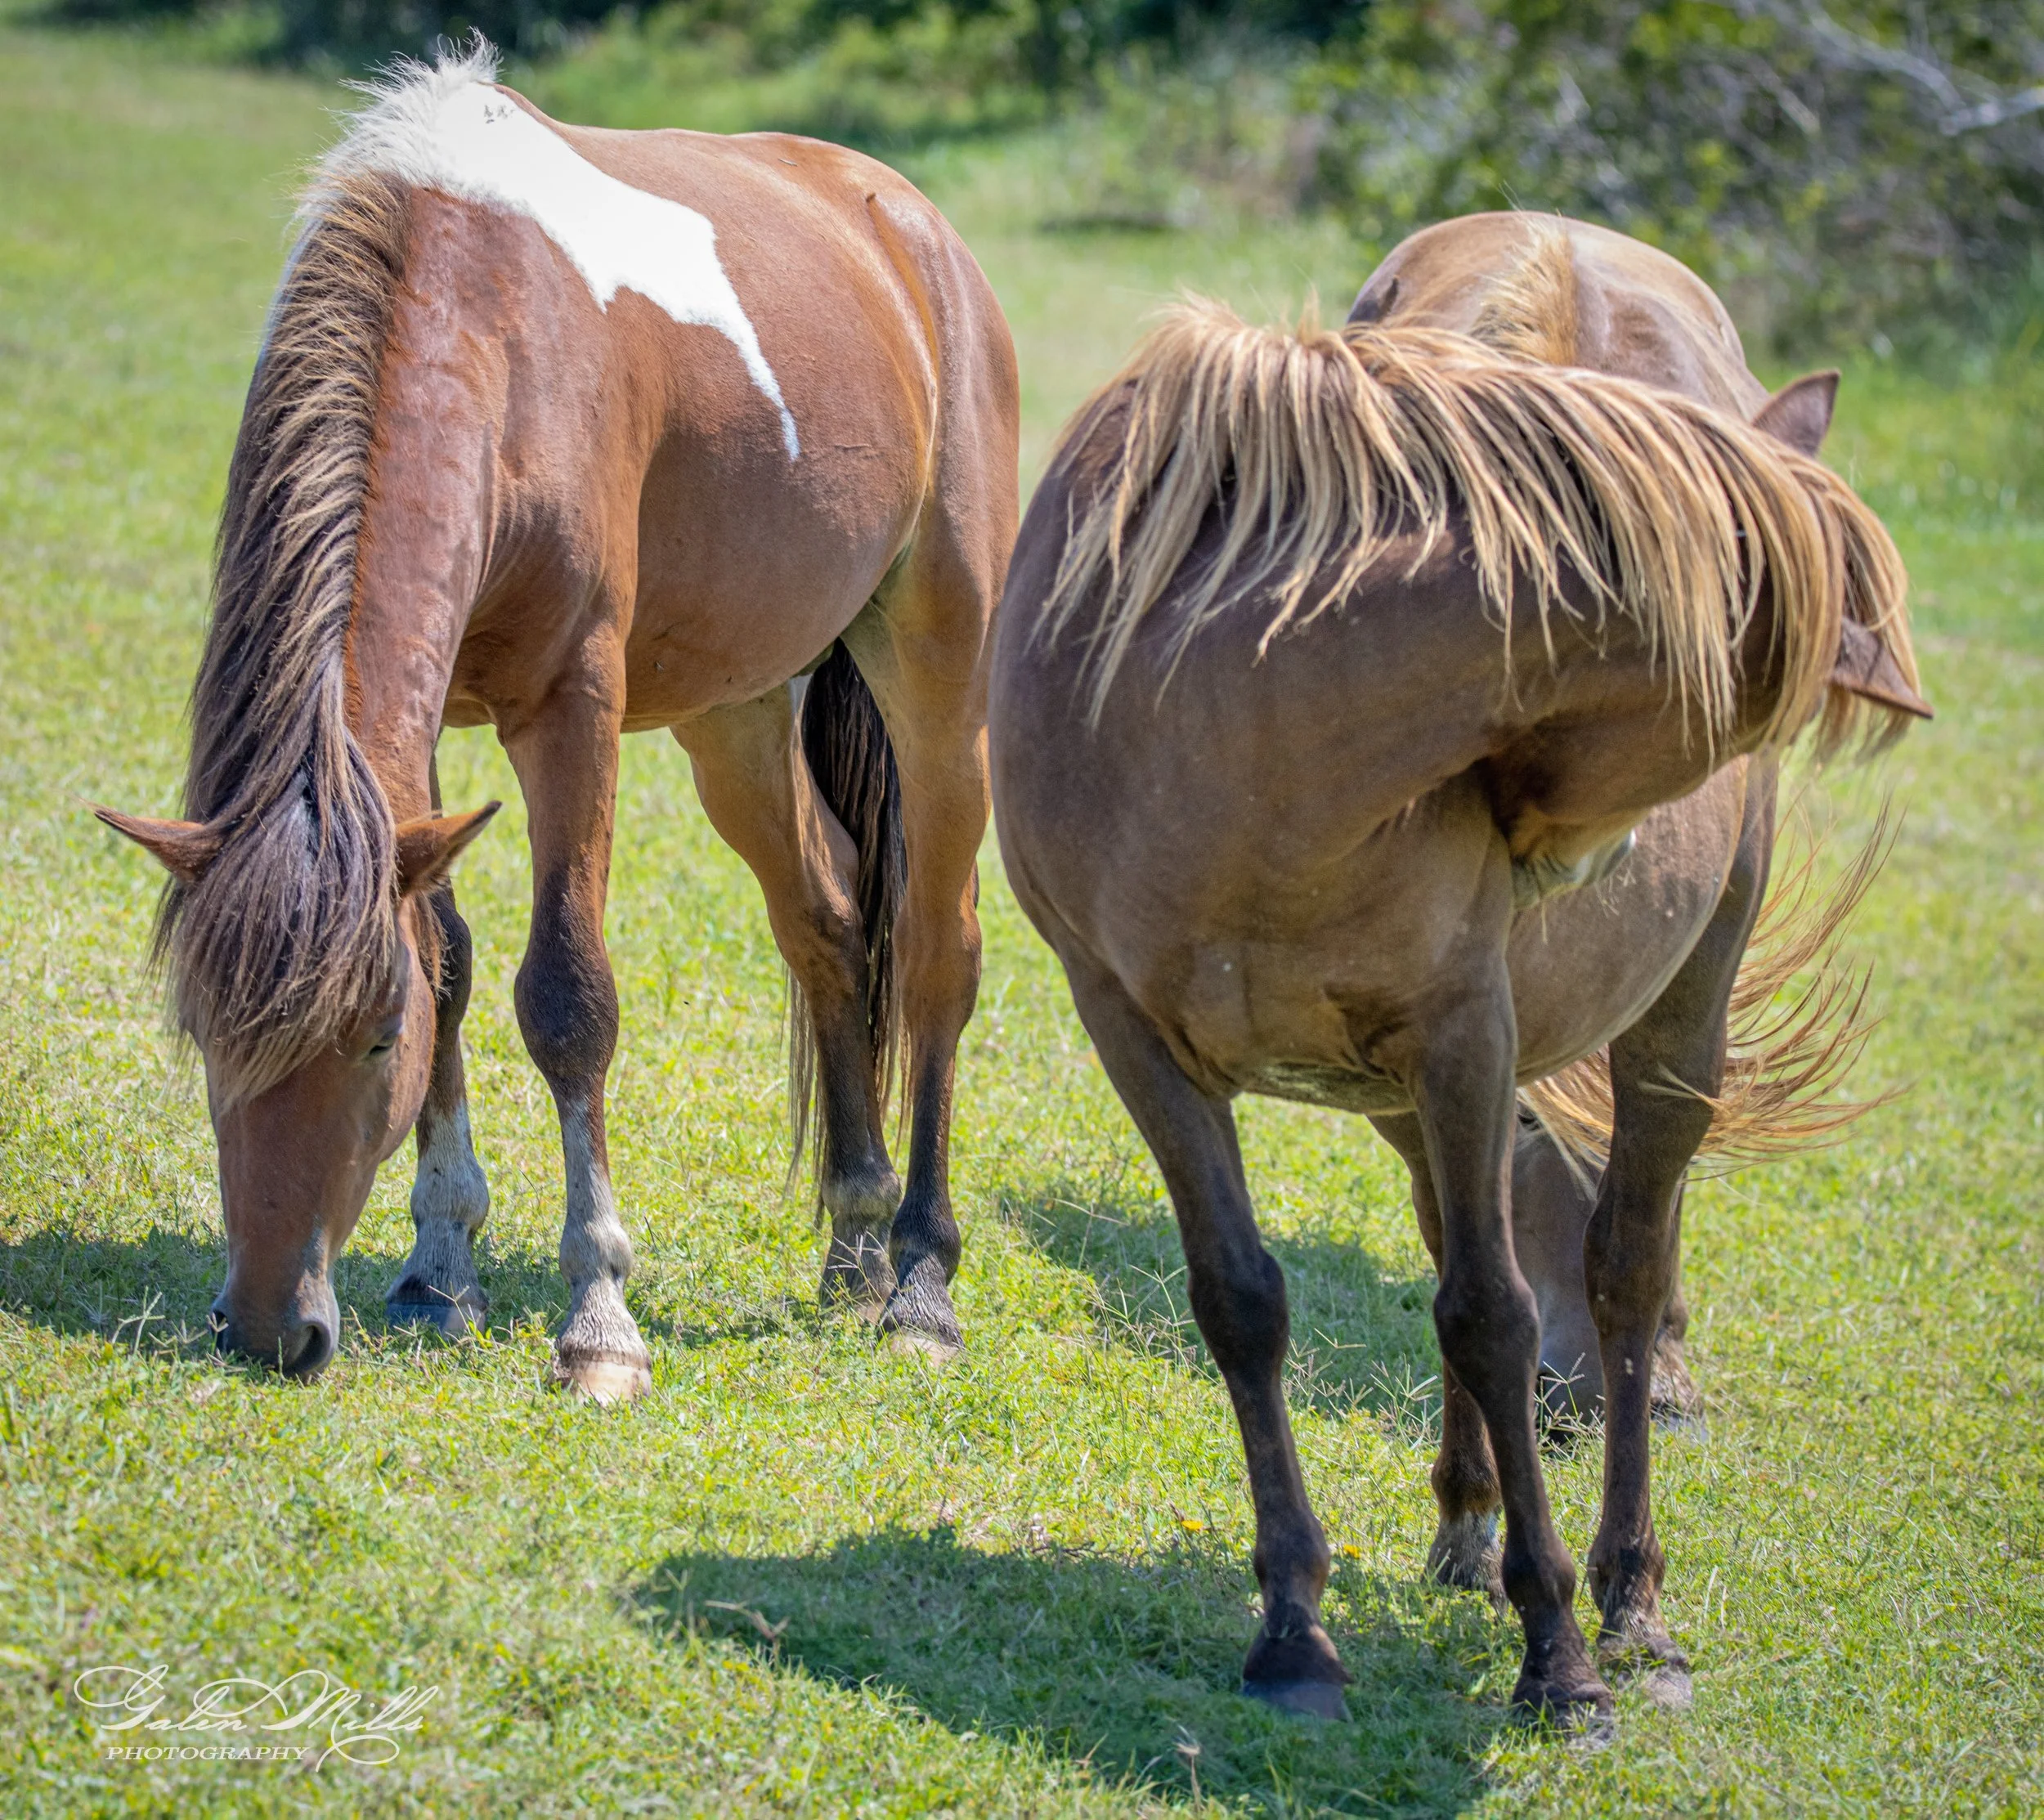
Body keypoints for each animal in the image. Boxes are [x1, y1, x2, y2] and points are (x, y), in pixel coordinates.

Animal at [94, 42, 1019, 1400]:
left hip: (939, 672)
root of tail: (909, 224)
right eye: (202, 1028)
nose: (268, 1324)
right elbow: (450, 958)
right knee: (829, 926)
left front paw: (598, 1317)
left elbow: (569, 998)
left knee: (939, 956)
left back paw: (919, 1283)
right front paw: (440, 1268)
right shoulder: (421, 743)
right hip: (738, 714)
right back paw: (854, 1237)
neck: (488, 324)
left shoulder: (571, 708)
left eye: (374, 1040)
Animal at [989, 213, 1926, 1724]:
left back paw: (1625, 1592)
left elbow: (1495, 1314)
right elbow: (1244, 1300)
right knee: (1460, 1241)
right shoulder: (1134, 1032)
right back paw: (1467, 1520)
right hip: (1405, 1087)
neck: (1244, 725)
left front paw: (1562, 1653)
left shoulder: (1465, 1032)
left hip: (1661, 1033)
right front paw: (1294, 1625)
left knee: (1617, 1272)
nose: (1579, 868)